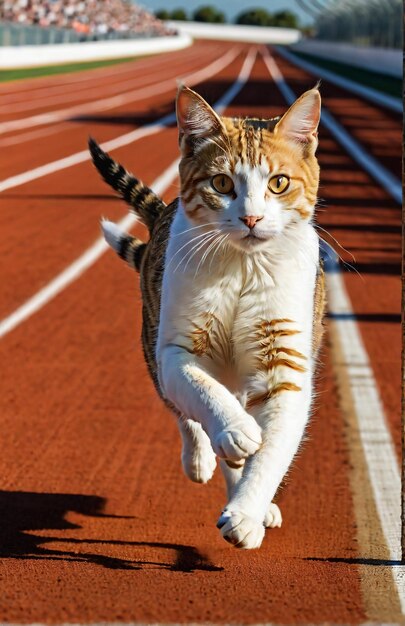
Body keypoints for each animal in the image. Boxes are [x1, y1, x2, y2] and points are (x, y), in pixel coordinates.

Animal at [88, 83, 326, 544]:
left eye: (279, 183)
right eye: (221, 182)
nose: (251, 217)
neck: (243, 267)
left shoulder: (285, 364)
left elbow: (273, 450)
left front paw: (248, 511)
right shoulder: (176, 347)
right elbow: (201, 393)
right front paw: (233, 431)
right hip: (152, 337)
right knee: (184, 411)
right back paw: (202, 457)